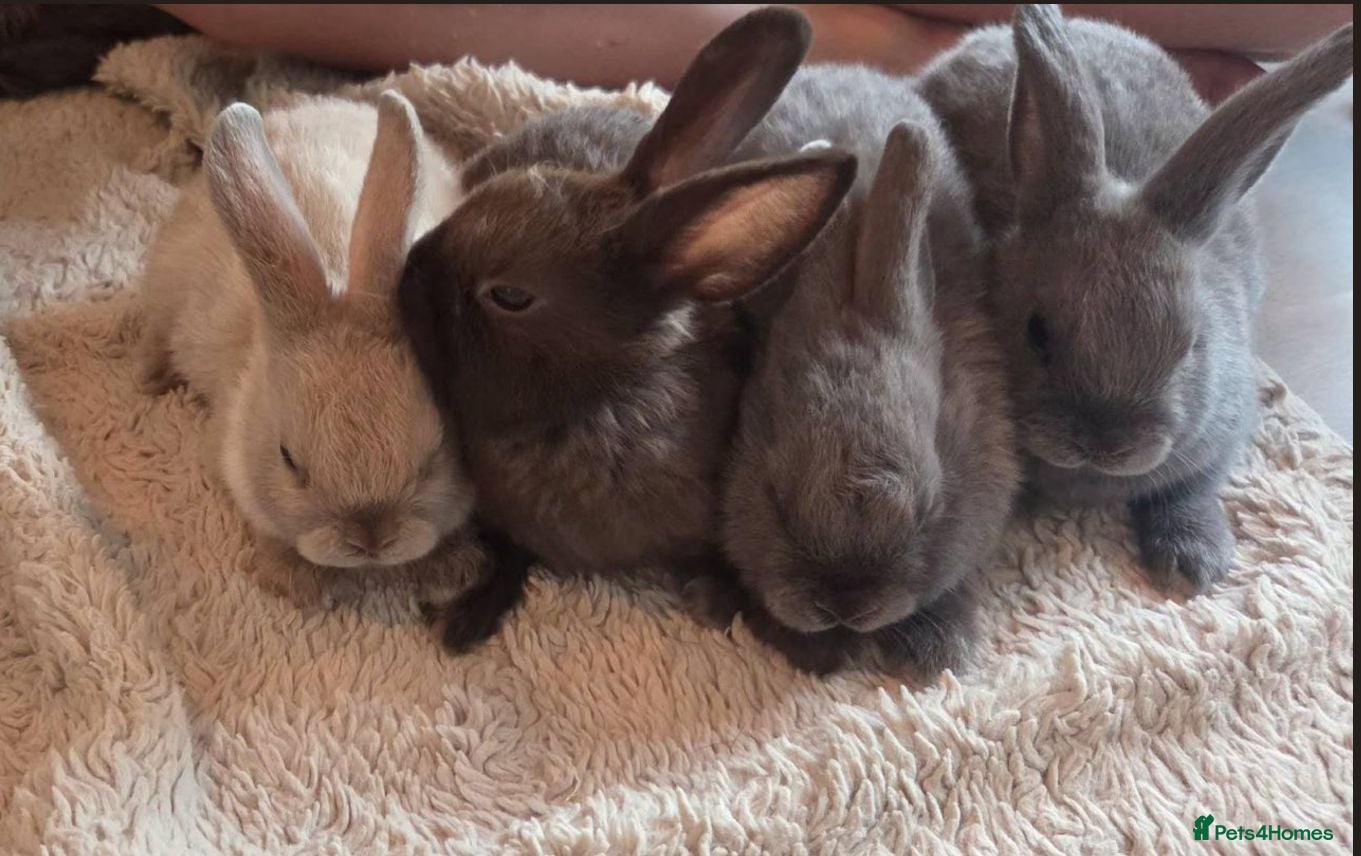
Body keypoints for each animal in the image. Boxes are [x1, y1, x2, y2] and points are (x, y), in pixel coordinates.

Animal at [138, 91, 481, 594]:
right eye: (288, 459)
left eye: (436, 452)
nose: (371, 540)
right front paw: (293, 581)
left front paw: (453, 568)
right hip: (166, 291)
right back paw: (148, 378)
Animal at [398, 7, 856, 653]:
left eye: (510, 296)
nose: (408, 271)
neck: (593, 401)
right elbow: (511, 556)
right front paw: (471, 617)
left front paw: (719, 602)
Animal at [917, 6, 1354, 593]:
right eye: (1037, 332)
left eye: (1191, 345)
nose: (1105, 443)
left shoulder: (1219, 437)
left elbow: (1191, 488)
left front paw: (1194, 562)